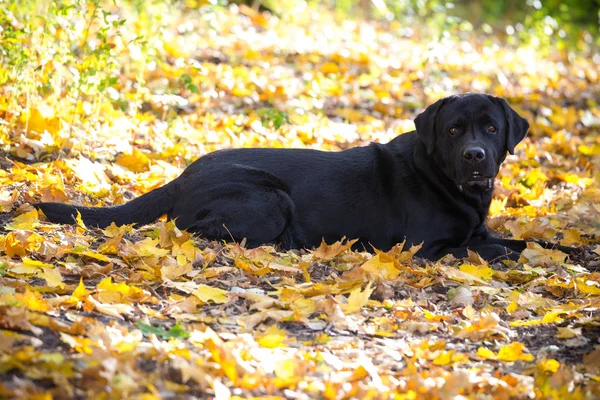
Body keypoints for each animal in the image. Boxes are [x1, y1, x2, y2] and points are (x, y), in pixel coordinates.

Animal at [36, 94, 568, 262]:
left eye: (492, 129)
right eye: (455, 129)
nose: (476, 156)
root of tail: (183, 174)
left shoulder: (480, 228)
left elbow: (527, 241)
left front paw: (566, 252)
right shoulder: (427, 248)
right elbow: (493, 250)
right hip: (269, 199)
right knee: (198, 229)